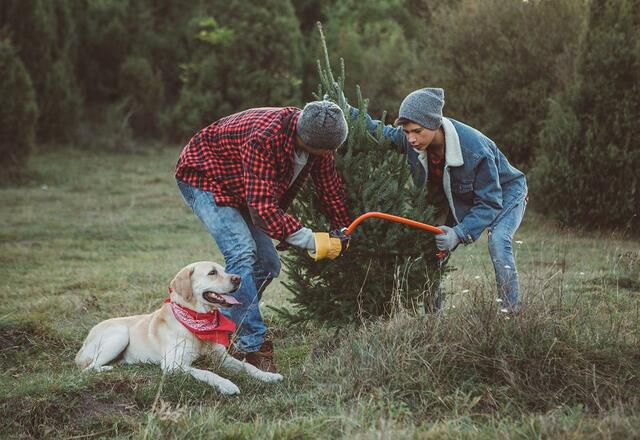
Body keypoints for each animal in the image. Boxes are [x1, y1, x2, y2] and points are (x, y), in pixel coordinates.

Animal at [75, 262, 282, 396]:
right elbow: (207, 372)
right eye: (212, 273)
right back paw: (107, 367)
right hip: (120, 335)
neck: (197, 319)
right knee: (89, 368)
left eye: (225, 270)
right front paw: (227, 385)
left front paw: (268, 375)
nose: (238, 278)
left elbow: (248, 366)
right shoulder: (174, 364)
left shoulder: (222, 358)